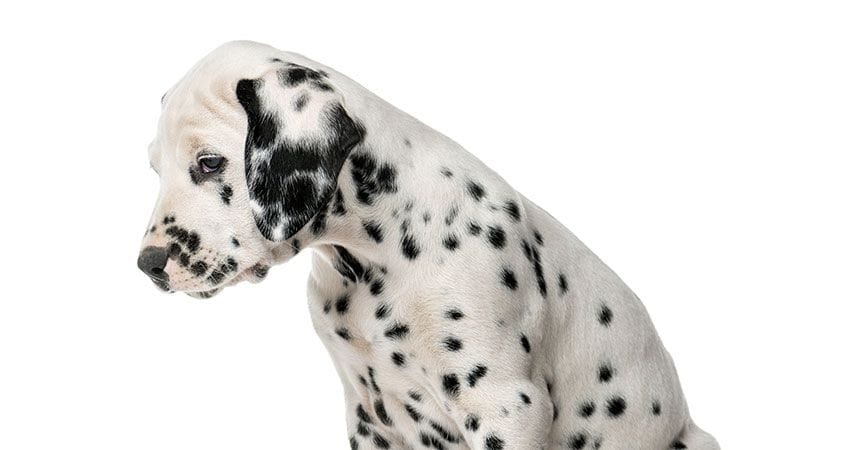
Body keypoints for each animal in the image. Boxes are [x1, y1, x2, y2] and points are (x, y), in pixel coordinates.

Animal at [138, 40, 720, 448]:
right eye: (156, 168)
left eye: (209, 163)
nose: (148, 264)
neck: (371, 261)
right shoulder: (369, 418)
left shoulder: (507, 407)